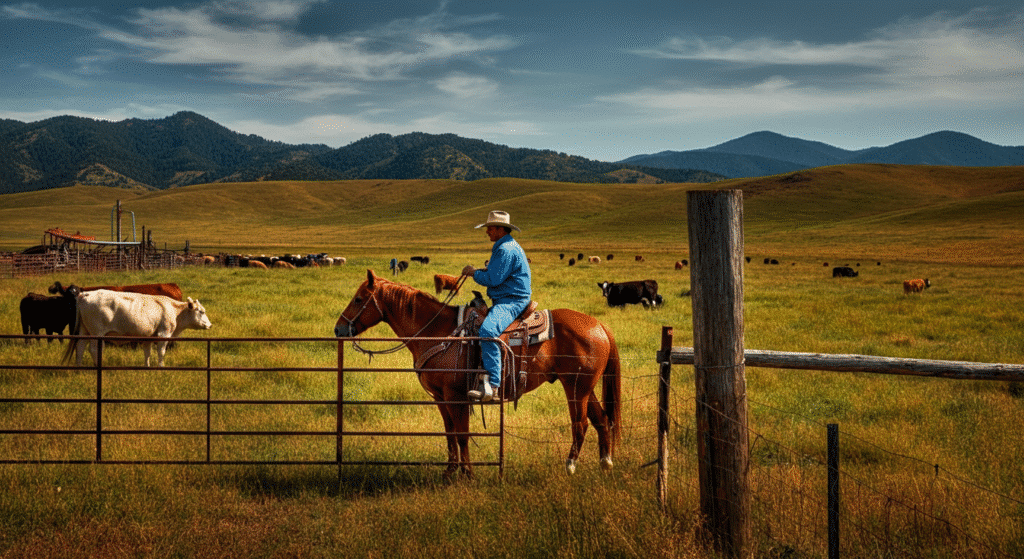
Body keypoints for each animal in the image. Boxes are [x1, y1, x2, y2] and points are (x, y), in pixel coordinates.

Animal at [334, 269, 621, 479]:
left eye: (358, 299)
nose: (339, 329)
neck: (437, 331)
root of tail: (600, 324)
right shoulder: (440, 397)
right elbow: (450, 433)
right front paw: (449, 472)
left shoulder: (456, 396)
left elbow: (462, 434)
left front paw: (468, 474)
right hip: (586, 387)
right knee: (601, 419)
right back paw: (605, 463)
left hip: (576, 387)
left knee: (581, 424)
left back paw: (570, 465)